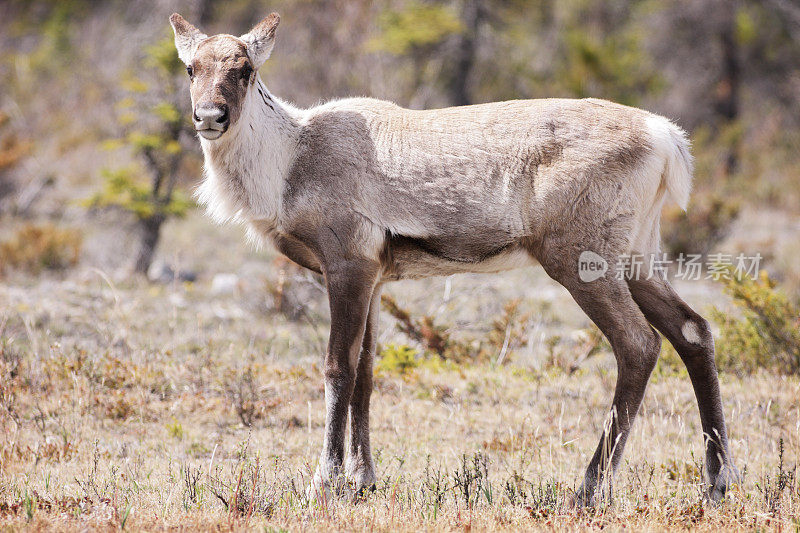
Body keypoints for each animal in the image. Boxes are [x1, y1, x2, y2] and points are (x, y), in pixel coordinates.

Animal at [170, 11, 736, 502]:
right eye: (192, 68)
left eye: (246, 70)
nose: (210, 117)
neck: (289, 160)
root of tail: (666, 137)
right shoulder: (376, 278)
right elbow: (367, 372)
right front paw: (363, 480)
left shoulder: (347, 264)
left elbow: (337, 368)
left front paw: (324, 483)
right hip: (638, 258)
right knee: (692, 330)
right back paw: (718, 482)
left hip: (580, 261)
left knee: (639, 344)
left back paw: (588, 491)